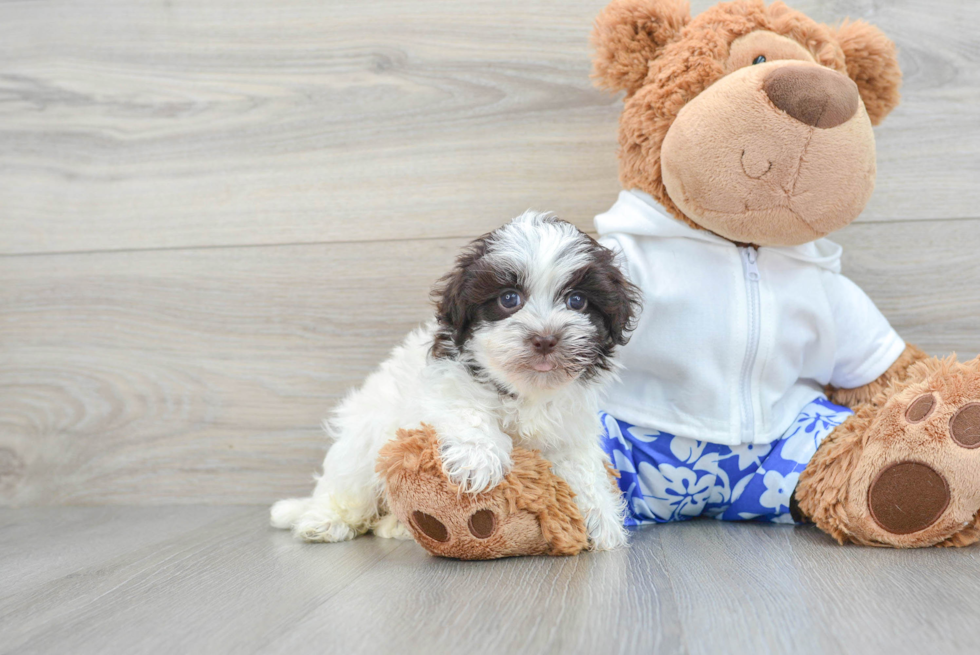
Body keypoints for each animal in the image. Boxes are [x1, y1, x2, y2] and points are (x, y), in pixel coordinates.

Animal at [270, 213, 644, 552]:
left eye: (576, 301)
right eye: (509, 299)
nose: (545, 339)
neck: (525, 390)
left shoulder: (570, 426)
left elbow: (581, 465)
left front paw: (598, 515)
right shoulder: (445, 381)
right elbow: (468, 410)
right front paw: (478, 459)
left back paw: (396, 526)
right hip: (363, 444)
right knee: (348, 488)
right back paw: (324, 520)